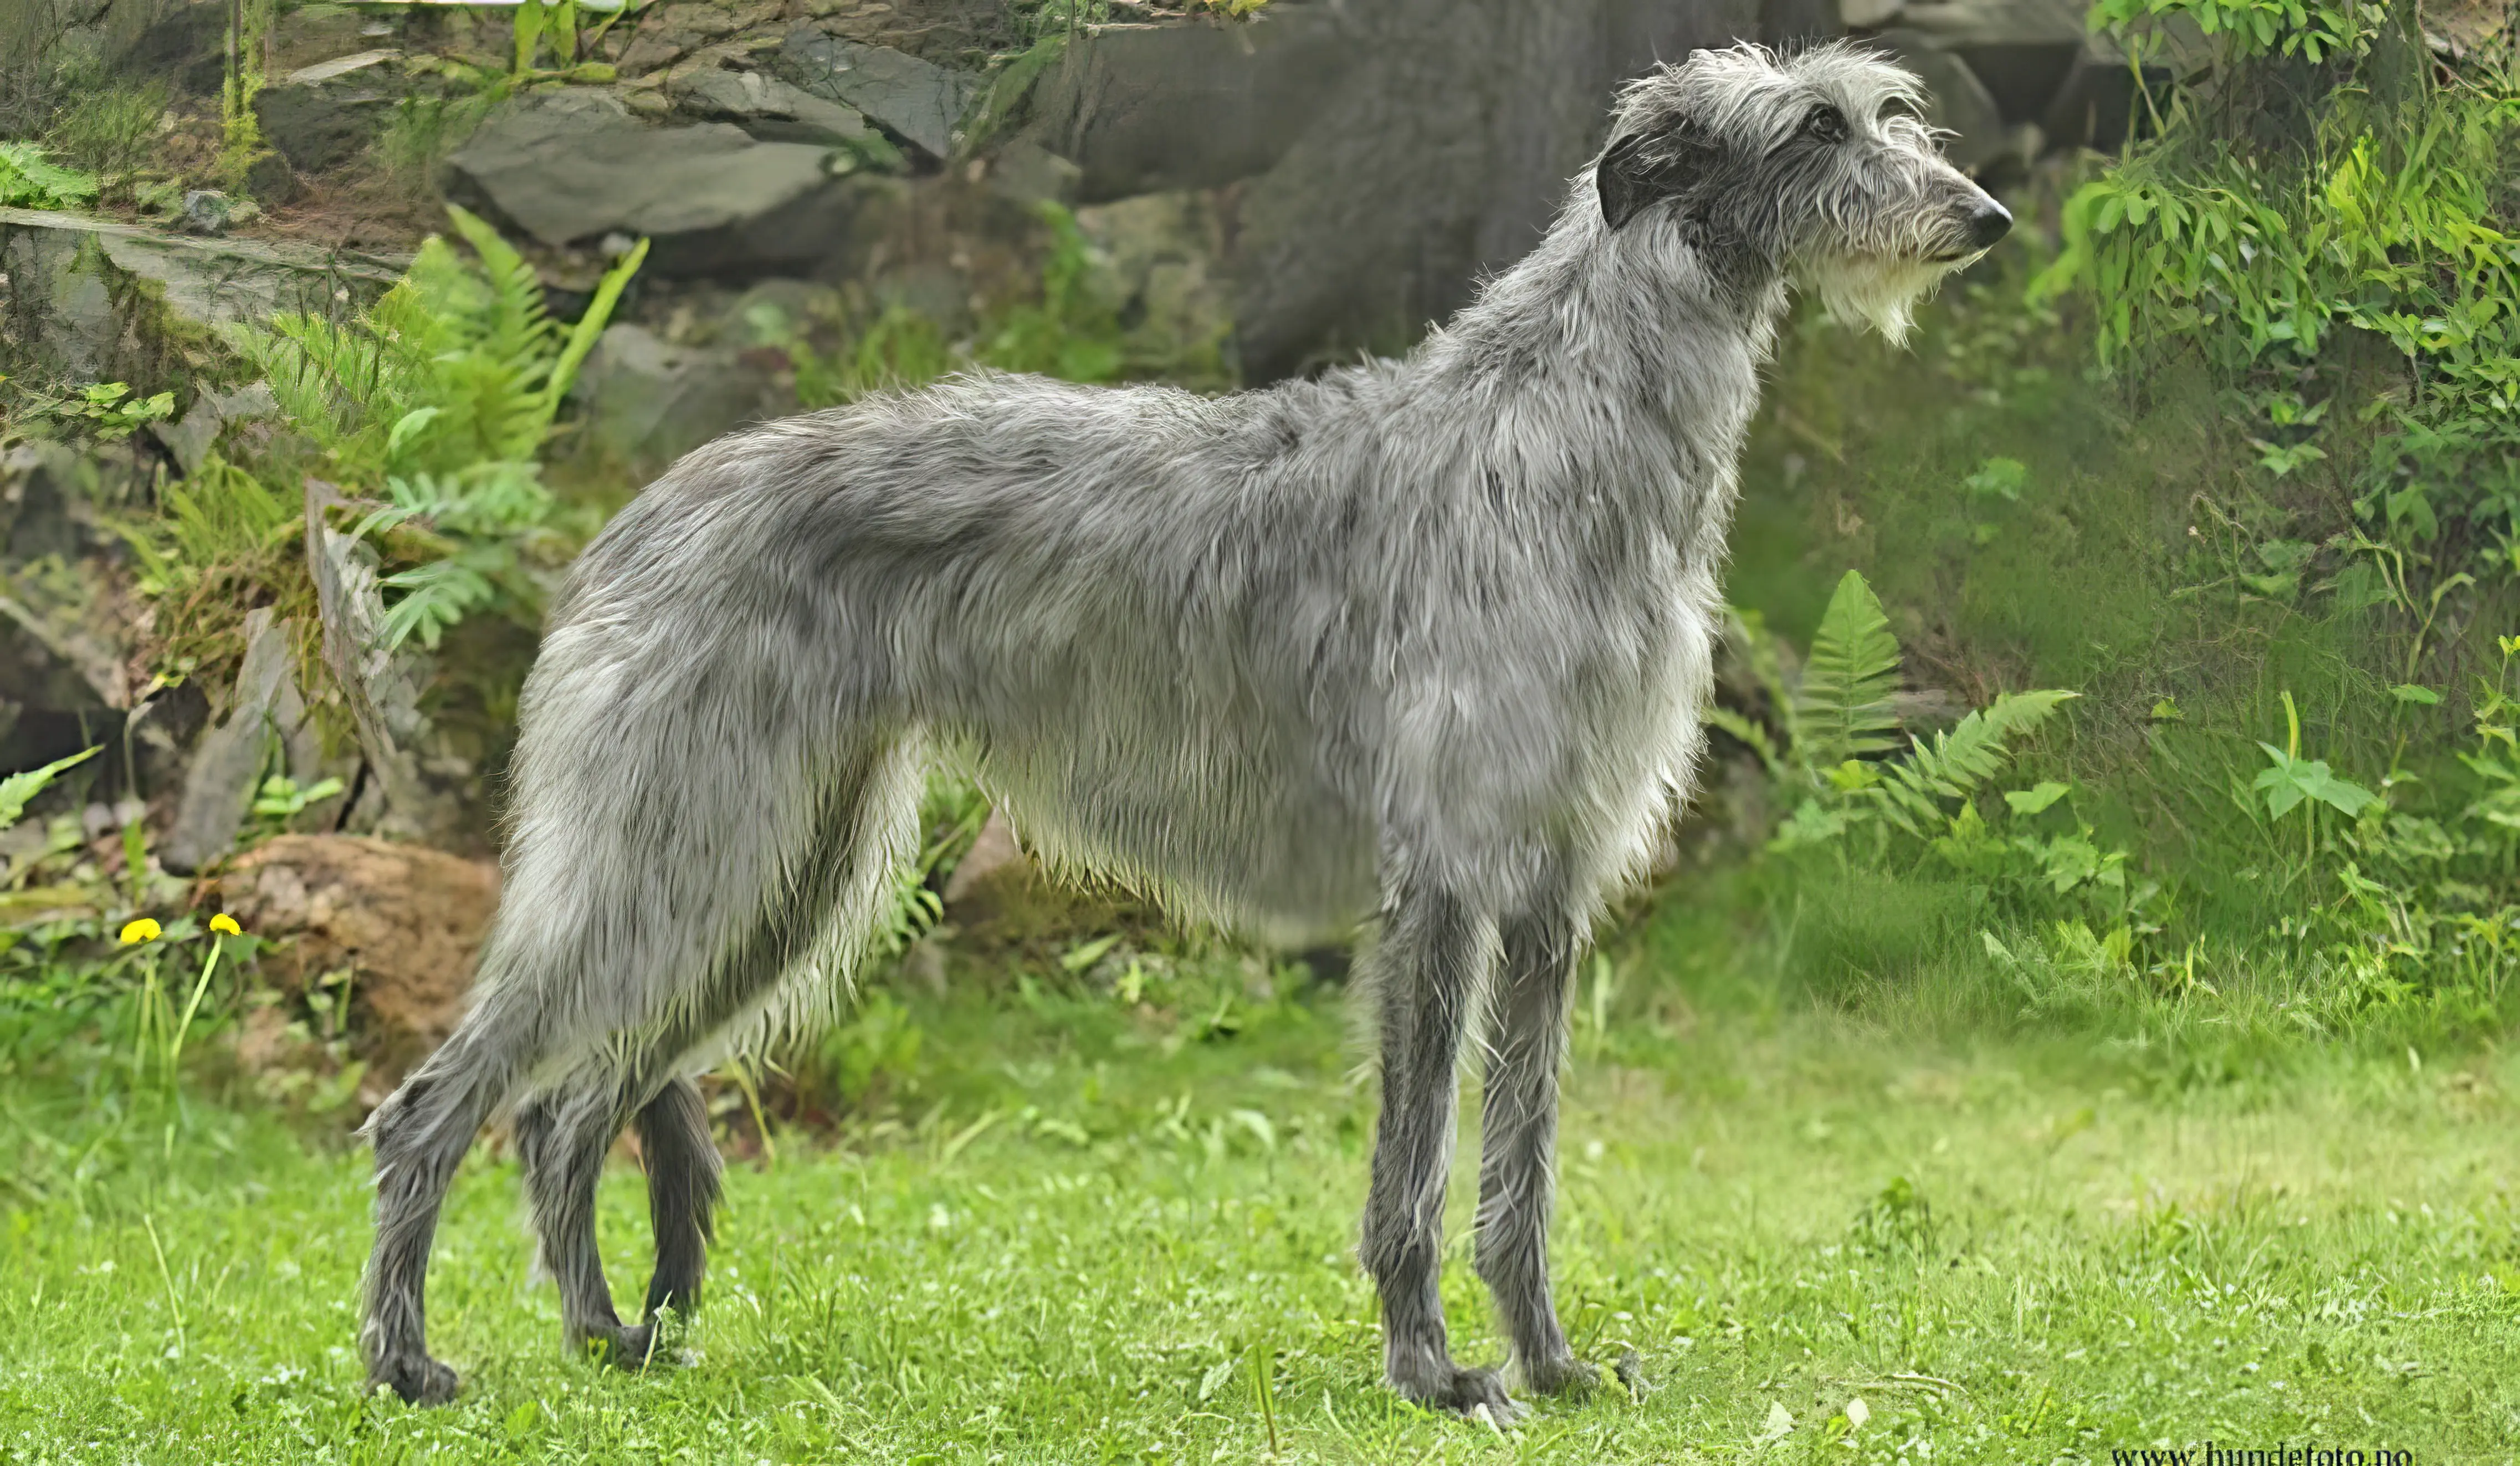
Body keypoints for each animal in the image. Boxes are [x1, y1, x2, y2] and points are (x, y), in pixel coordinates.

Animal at [360, 43, 2006, 1421]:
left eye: (1888, 110)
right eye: (1813, 127)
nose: (1982, 215)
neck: (1561, 430)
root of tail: (627, 520)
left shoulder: (1547, 889)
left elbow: (1519, 1172)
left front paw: (1547, 1360)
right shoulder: (1440, 884)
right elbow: (1413, 1173)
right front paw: (1433, 1373)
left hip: (779, 874)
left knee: (566, 1110)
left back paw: (602, 1337)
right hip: (679, 842)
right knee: (440, 1105)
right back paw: (406, 1360)